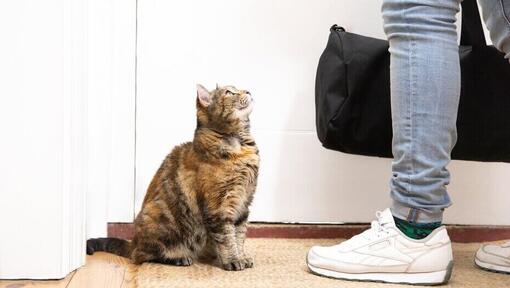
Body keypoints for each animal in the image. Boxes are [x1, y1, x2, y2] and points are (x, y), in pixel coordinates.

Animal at [87, 84, 258, 272]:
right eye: (229, 92)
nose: (248, 91)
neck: (239, 145)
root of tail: (133, 241)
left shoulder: (243, 204)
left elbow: (239, 236)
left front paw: (242, 257)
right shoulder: (219, 207)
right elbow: (227, 237)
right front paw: (233, 260)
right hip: (158, 218)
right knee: (142, 255)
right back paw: (179, 258)